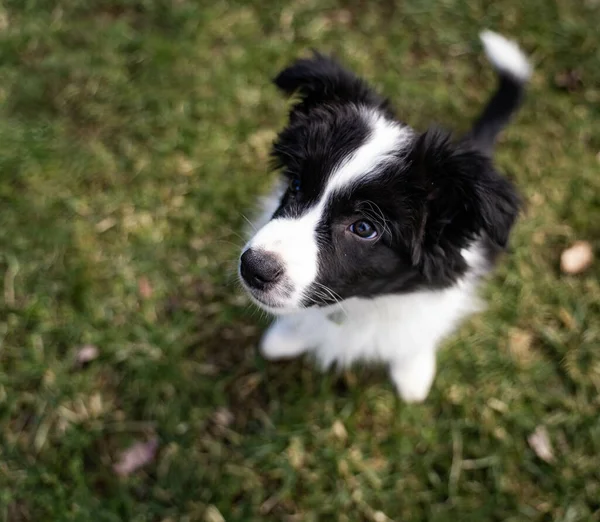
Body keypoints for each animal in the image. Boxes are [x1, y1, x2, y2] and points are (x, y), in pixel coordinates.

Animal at [238, 30, 528, 400]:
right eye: (297, 184)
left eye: (364, 228)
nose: (253, 268)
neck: (359, 303)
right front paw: (286, 337)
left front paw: (413, 374)